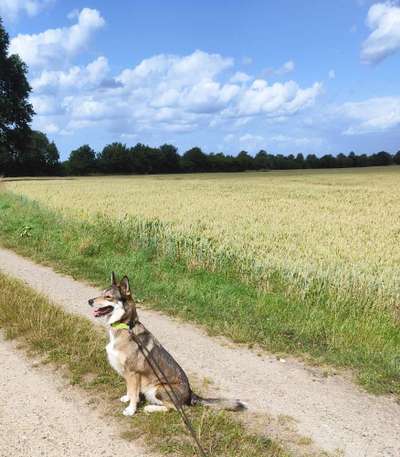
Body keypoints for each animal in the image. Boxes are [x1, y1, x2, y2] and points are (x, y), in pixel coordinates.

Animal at [88, 272, 245, 416]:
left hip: (159, 389)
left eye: (108, 297)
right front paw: (127, 398)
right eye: (101, 293)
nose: (89, 301)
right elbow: (130, 391)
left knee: (176, 408)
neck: (126, 327)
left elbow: (134, 394)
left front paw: (131, 410)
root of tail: (191, 394)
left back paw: (150, 408)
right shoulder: (128, 374)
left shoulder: (133, 373)